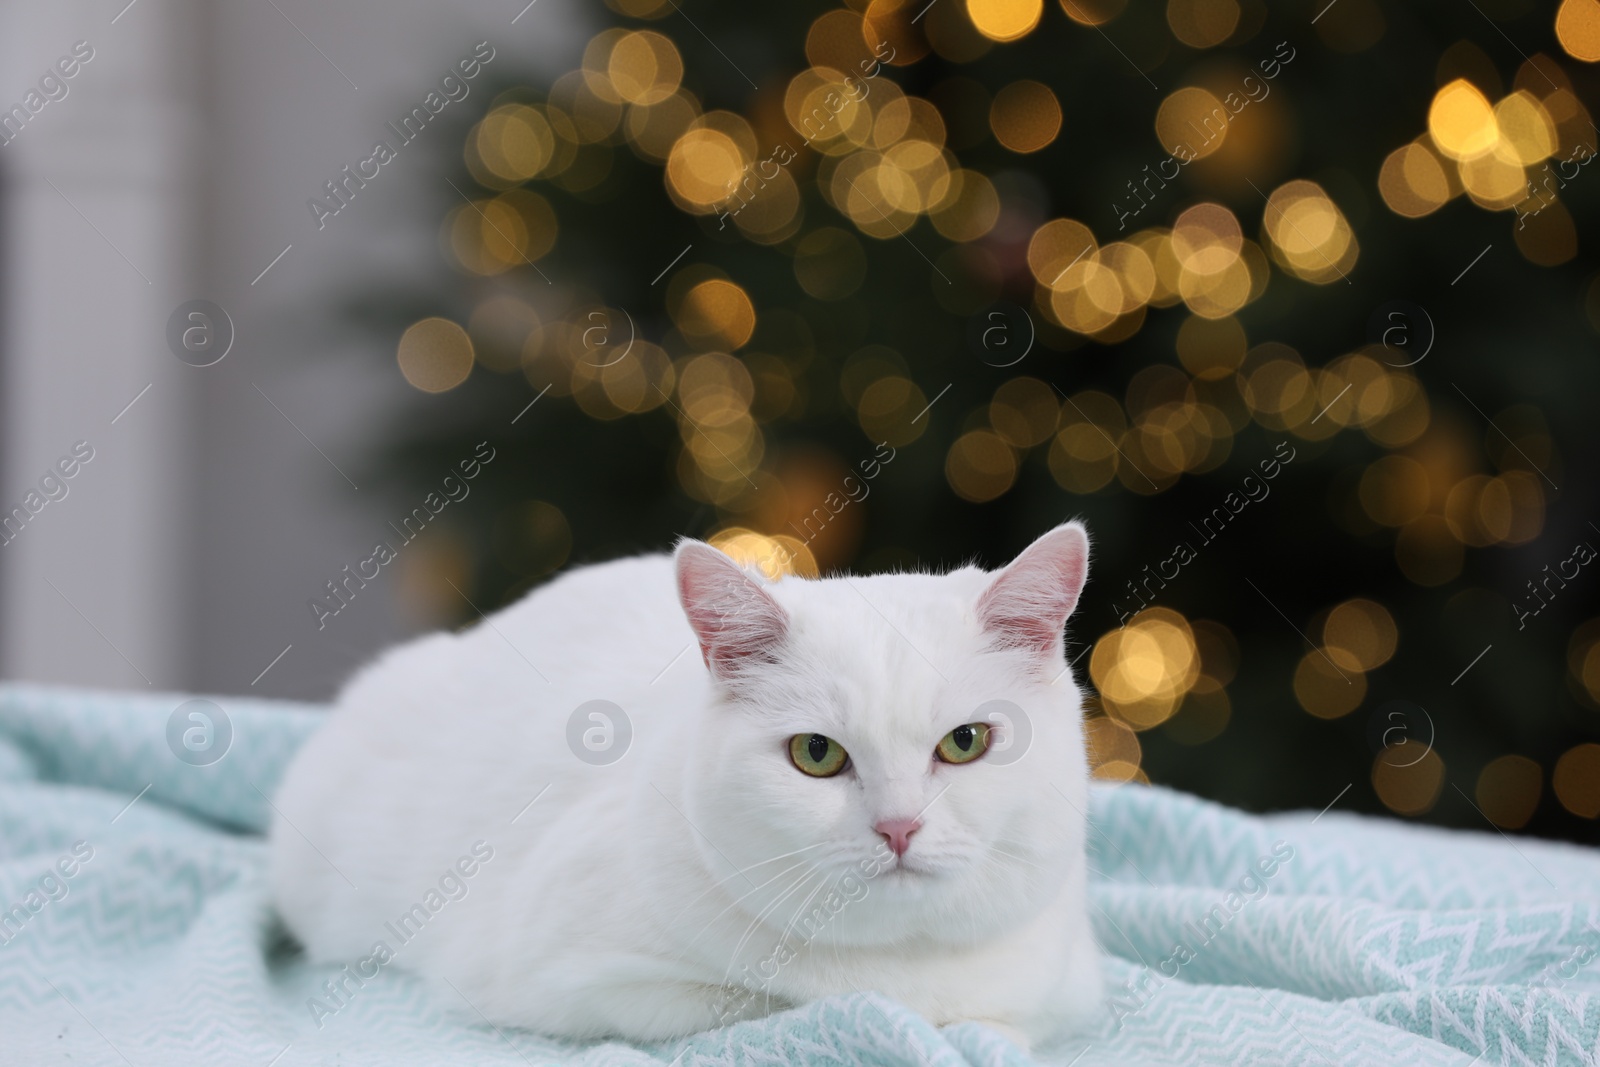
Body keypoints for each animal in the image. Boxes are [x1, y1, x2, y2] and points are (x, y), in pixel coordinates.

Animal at [272, 521, 1100, 1049]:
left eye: (965, 742)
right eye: (816, 753)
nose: (899, 826)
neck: (901, 966)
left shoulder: (1058, 992)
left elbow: (997, 1028)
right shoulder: (571, 978)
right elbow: (750, 1008)